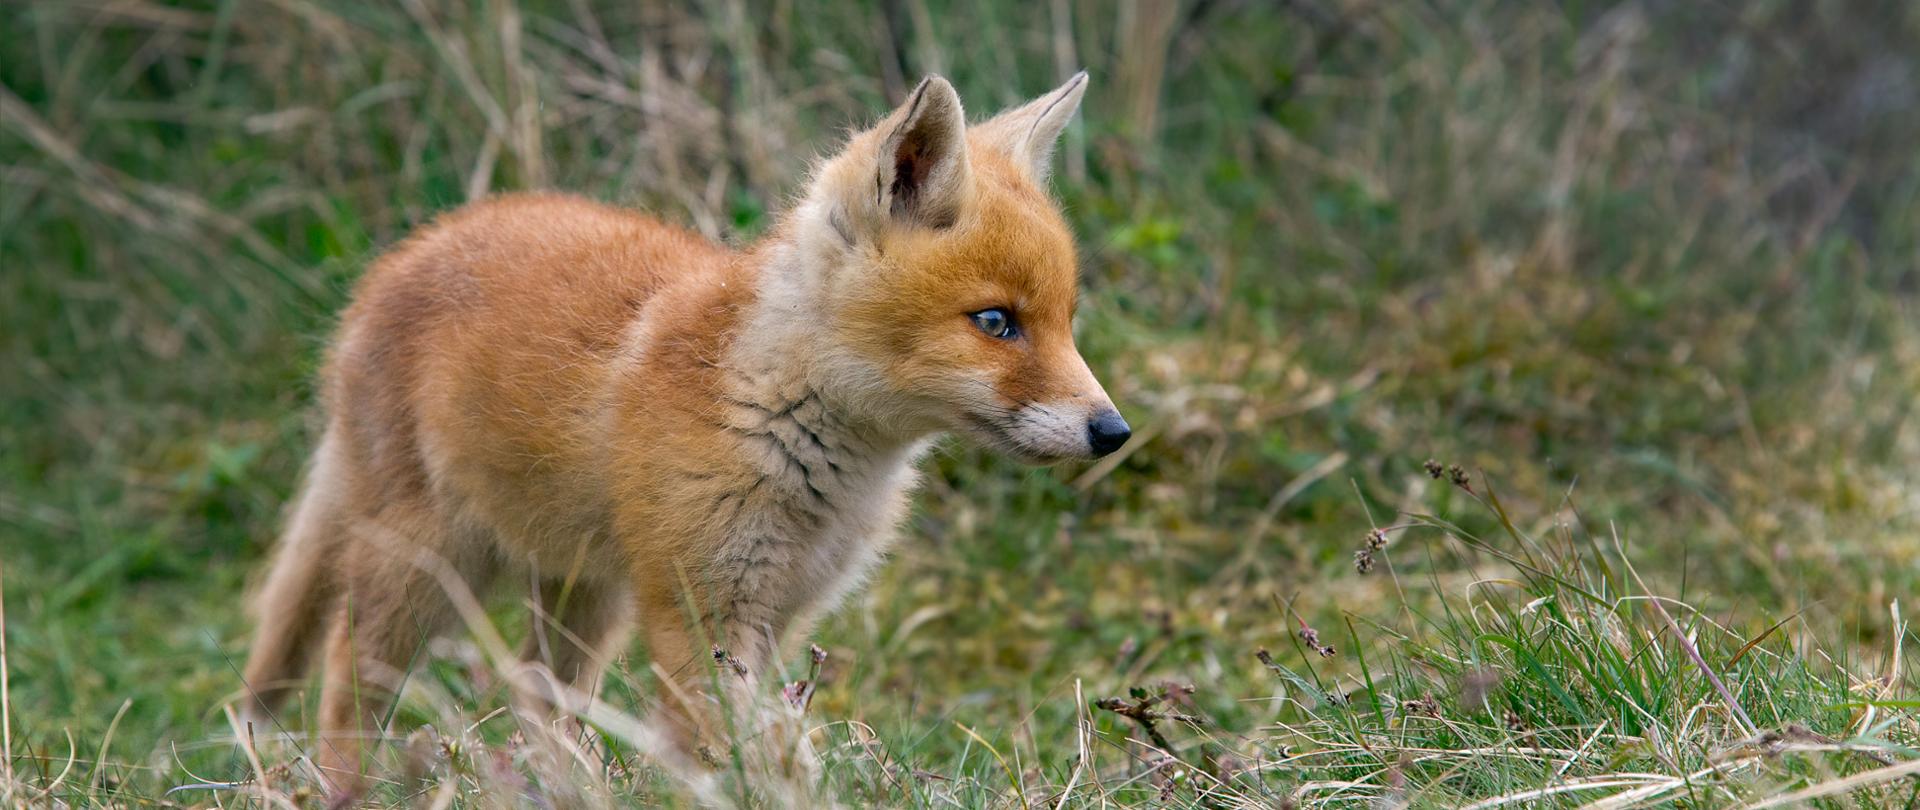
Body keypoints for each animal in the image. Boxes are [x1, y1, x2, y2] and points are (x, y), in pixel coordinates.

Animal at [245, 72, 1128, 786]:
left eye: (1065, 321)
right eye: (997, 322)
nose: (1113, 431)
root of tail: (396, 259)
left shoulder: (778, 617)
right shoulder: (698, 614)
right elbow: (742, 756)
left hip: (583, 599)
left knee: (534, 698)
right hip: (424, 570)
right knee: (344, 688)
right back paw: (344, 786)